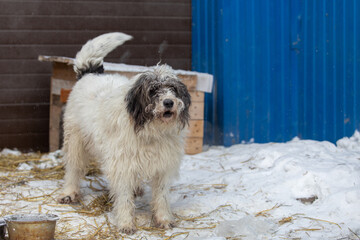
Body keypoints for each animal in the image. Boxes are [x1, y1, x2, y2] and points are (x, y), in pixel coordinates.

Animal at [57, 32, 191, 234]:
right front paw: (126, 223)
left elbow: (161, 197)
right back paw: (69, 193)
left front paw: (163, 220)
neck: (150, 131)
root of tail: (90, 73)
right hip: (75, 141)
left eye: (173, 88)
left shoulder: (162, 166)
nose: (168, 102)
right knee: (73, 168)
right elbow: (124, 199)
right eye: (153, 90)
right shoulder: (122, 165)